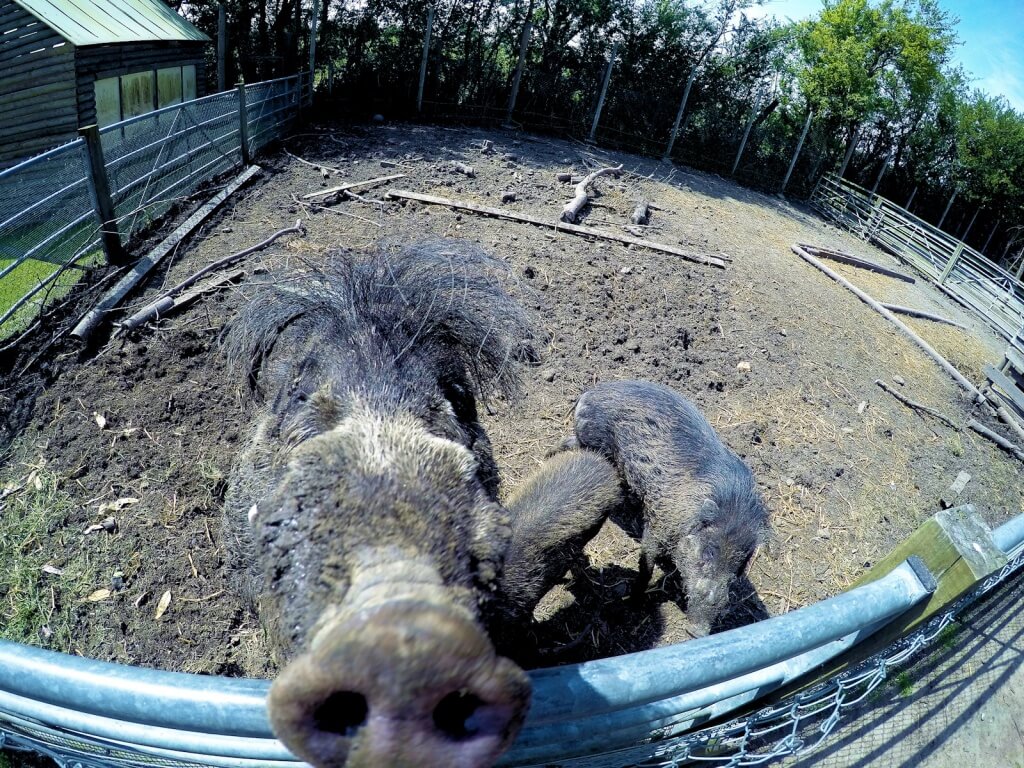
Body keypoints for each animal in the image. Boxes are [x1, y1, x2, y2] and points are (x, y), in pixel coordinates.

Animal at [569, 378, 770, 638]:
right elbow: (647, 562)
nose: (698, 632)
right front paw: (634, 602)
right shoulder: (658, 521)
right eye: (709, 552)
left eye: (739, 565)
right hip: (594, 442)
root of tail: (589, 394)